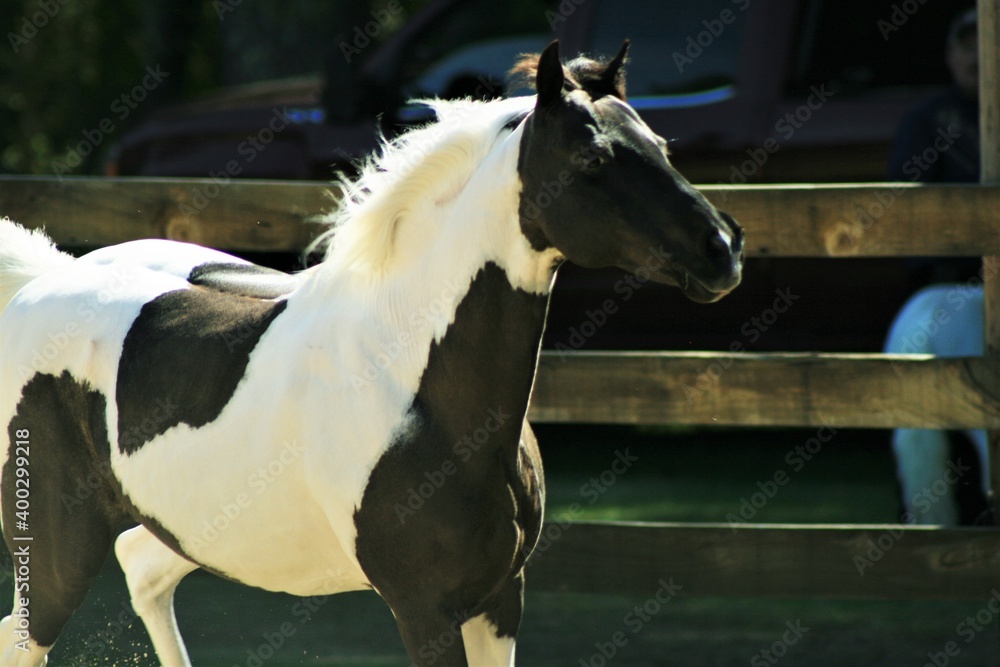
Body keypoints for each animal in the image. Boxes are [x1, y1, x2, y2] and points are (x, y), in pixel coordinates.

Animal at [0, 40, 743, 666]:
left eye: (661, 145)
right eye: (593, 160)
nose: (723, 250)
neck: (418, 385)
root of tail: (36, 283)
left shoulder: (501, 599)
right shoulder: (424, 610)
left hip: (194, 527)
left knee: (142, 571)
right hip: (57, 551)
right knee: (27, 633)